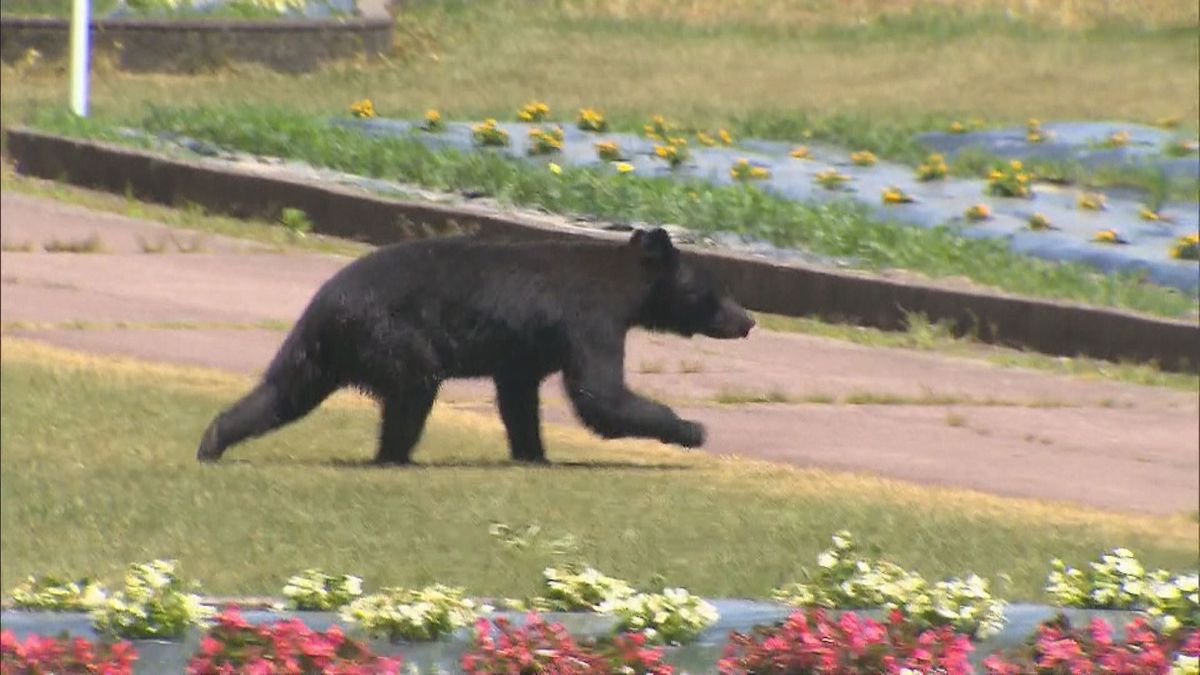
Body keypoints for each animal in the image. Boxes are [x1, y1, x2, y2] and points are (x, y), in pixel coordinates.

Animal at [196, 227, 755, 465]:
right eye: (714, 292)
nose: (747, 321)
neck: (626, 288)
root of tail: (324, 303)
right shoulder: (588, 318)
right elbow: (600, 394)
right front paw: (692, 429)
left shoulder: (525, 350)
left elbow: (518, 396)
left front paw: (533, 453)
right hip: (390, 333)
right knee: (414, 388)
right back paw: (395, 455)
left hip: (321, 351)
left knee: (282, 393)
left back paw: (214, 439)